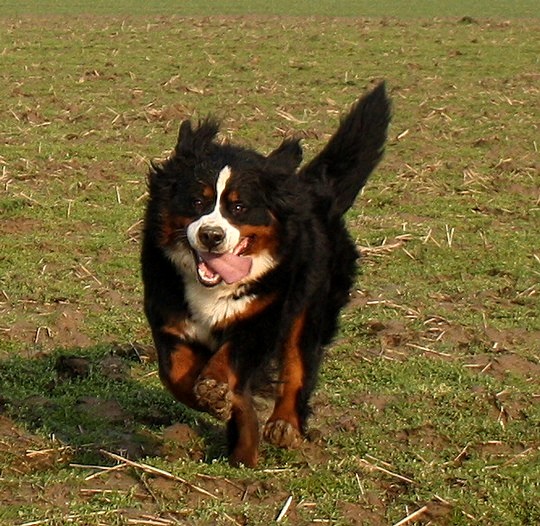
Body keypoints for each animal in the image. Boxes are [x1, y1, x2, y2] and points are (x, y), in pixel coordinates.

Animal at [141, 81, 390, 466]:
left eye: (239, 207)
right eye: (197, 202)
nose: (211, 235)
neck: (212, 290)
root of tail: (311, 187)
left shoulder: (262, 316)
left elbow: (230, 358)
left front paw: (216, 389)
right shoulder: (169, 317)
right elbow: (176, 373)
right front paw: (221, 406)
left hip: (310, 305)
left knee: (299, 364)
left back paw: (284, 424)